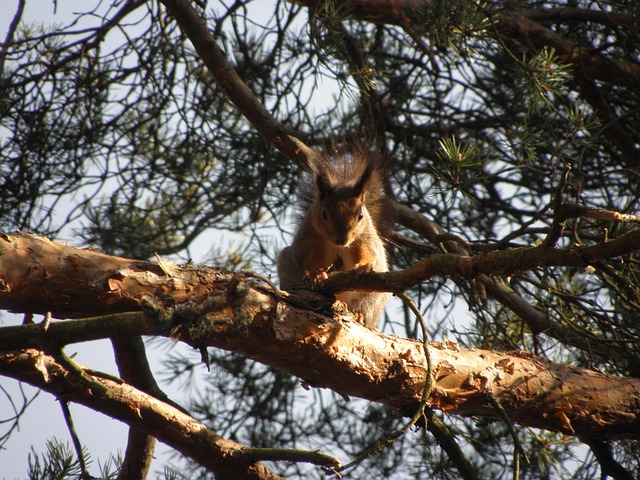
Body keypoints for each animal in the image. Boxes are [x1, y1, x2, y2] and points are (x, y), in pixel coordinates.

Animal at [277, 150, 391, 328]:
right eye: (324, 214)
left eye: (360, 215)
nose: (341, 239)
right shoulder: (309, 241)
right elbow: (309, 259)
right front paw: (317, 274)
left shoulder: (364, 239)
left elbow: (369, 253)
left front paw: (364, 265)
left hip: (373, 298)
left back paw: (358, 315)